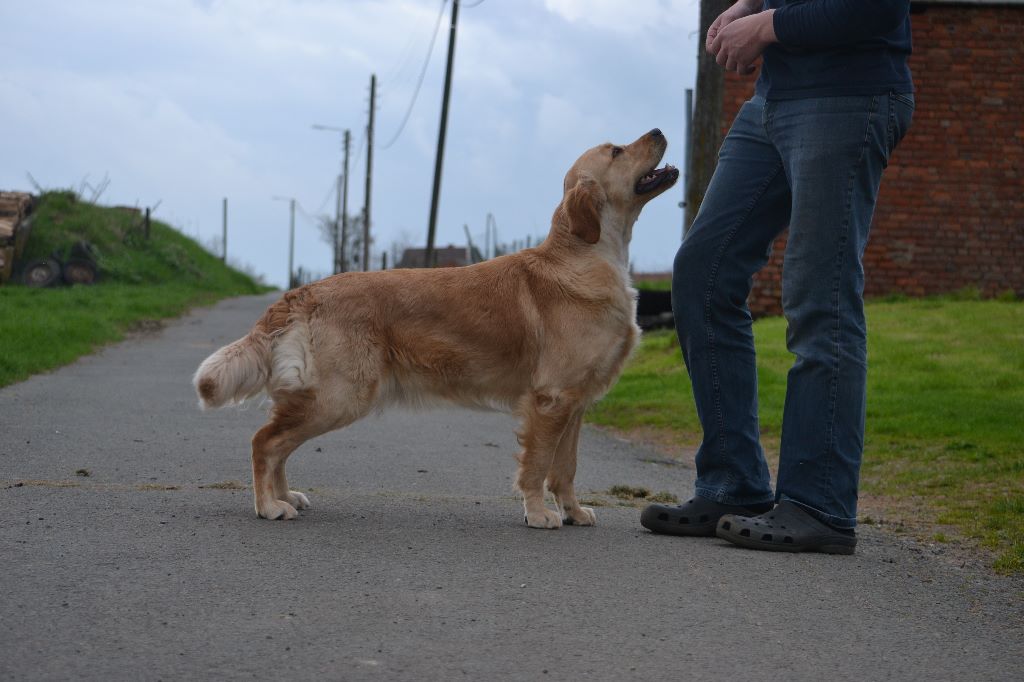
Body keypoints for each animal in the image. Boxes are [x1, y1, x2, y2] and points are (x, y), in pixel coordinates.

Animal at [194, 130, 679, 528]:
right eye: (617, 151)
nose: (659, 130)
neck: (587, 254)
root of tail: (302, 292)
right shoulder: (551, 399)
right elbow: (538, 465)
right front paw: (539, 514)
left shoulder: (574, 404)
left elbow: (566, 469)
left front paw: (574, 512)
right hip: (341, 396)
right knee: (264, 441)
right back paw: (268, 506)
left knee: (278, 443)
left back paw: (284, 496)